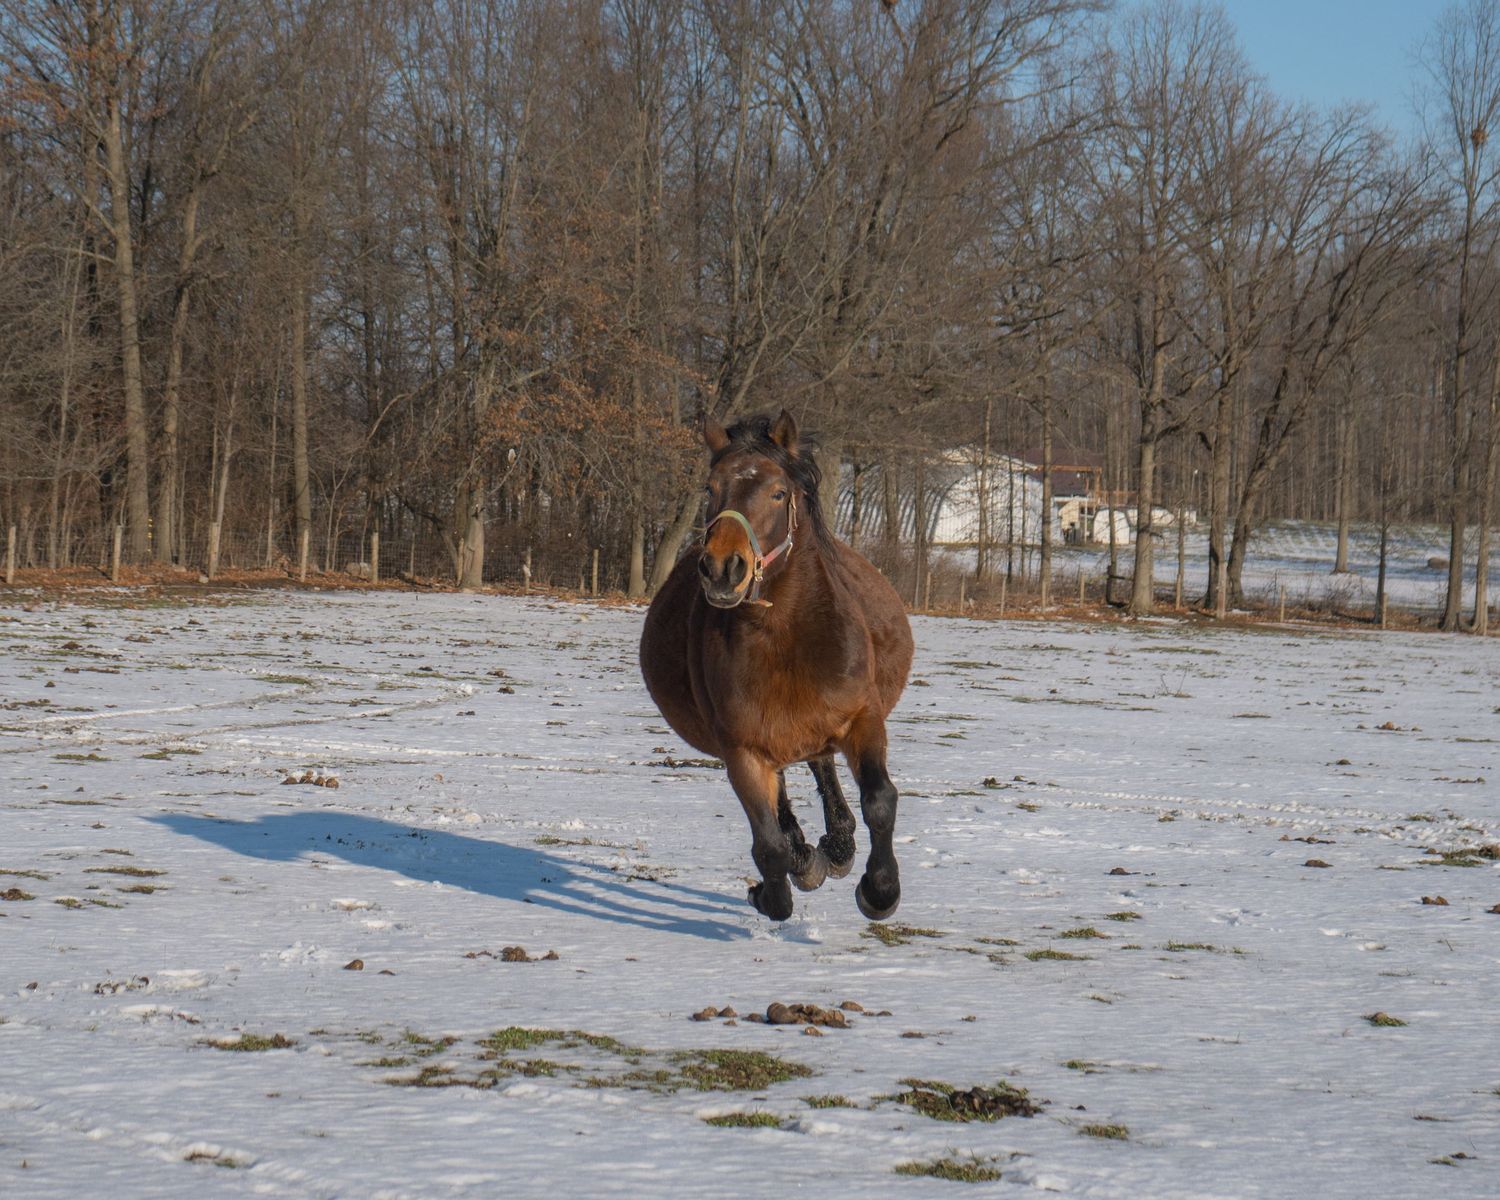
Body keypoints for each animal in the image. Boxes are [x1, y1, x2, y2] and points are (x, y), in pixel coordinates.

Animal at [639, 410, 914, 922]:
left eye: (778, 493)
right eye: (710, 487)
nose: (723, 569)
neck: (785, 637)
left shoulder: (863, 719)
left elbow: (880, 800)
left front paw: (879, 891)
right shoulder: (742, 751)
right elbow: (769, 846)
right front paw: (769, 891)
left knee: (823, 766)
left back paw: (838, 848)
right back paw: (811, 856)